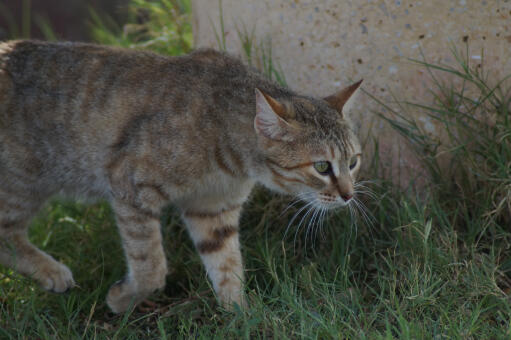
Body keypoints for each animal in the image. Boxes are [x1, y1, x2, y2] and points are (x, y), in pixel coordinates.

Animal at [0, 39, 364, 314]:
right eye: (322, 167)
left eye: (353, 162)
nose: (349, 195)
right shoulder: (130, 185)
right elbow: (151, 267)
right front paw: (123, 299)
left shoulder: (213, 210)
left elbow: (228, 266)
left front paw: (241, 315)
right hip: (23, 183)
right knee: (6, 235)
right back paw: (52, 271)